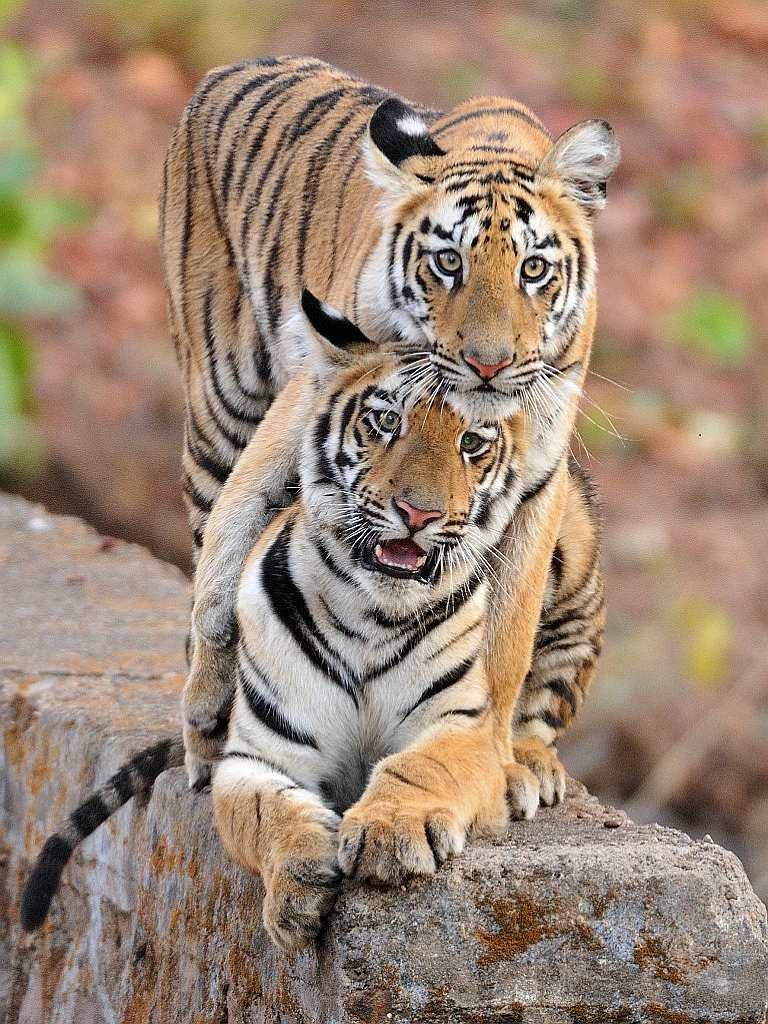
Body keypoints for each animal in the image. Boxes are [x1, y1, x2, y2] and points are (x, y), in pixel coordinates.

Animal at [157, 58, 618, 798]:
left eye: (533, 268)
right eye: (448, 262)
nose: (488, 364)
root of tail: (230, 68)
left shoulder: (538, 480)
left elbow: (506, 640)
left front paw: (491, 755)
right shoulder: (309, 400)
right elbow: (229, 554)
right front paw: (212, 712)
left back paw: (533, 760)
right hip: (221, 402)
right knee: (210, 524)